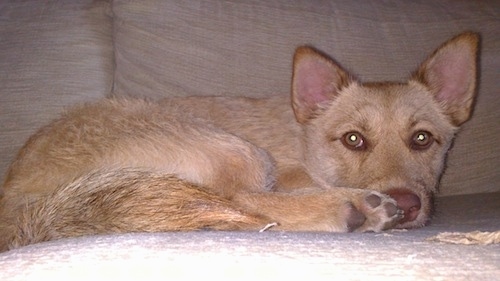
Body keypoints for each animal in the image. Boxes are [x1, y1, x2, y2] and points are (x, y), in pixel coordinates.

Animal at [0, 31, 478, 249]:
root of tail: (21, 204)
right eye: (354, 139)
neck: (304, 141)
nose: (410, 205)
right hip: (233, 148)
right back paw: (349, 207)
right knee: (236, 201)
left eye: (422, 138)